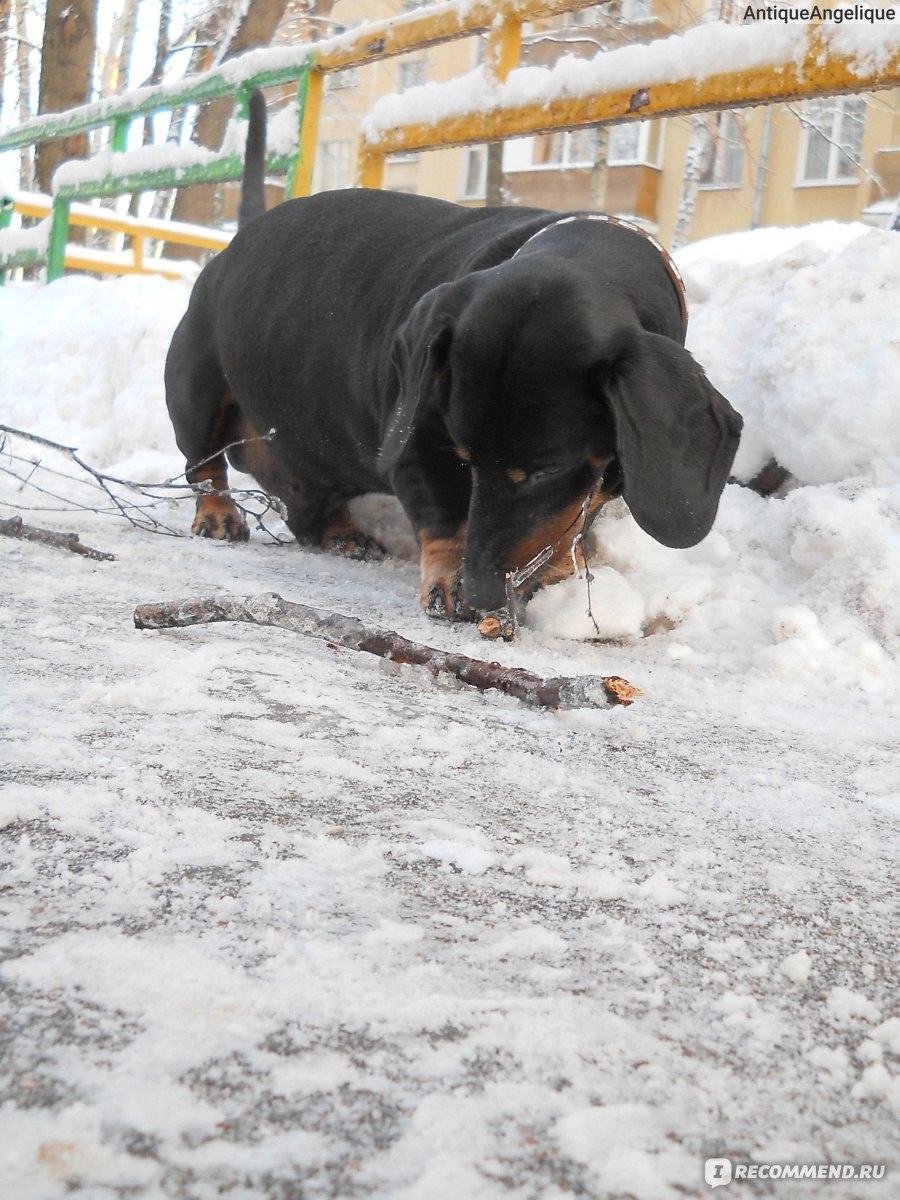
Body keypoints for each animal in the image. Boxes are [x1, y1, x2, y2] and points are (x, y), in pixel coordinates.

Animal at [165, 93, 744, 628]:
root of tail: (236, 241)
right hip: (196, 392)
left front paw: (557, 569)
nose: (485, 591)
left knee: (306, 508)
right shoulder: (415, 440)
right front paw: (450, 580)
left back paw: (340, 532)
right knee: (204, 465)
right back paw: (219, 515)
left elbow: (567, 520)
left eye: (547, 469)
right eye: (464, 457)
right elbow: (444, 515)